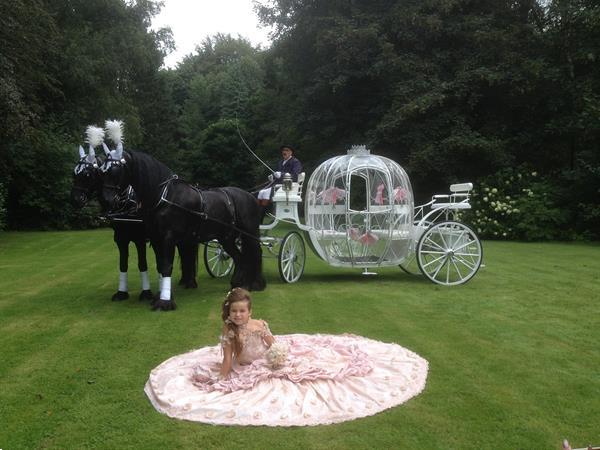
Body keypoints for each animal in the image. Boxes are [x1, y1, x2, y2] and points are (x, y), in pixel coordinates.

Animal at [70, 146, 197, 300]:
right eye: (74, 173)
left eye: (87, 175)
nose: (75, 199)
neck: (127, 202)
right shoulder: (120, 239)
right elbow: (123, 264)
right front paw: (121, 292)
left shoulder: (139, 239)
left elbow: (142, 264)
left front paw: (146, 293)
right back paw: (183, 280)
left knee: (188, 252)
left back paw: (190, 282)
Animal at [100, 148, 264, 310]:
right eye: (102, 171)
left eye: (116, 170)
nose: (107, 201)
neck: (165, 197)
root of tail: (250, 196)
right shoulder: (155, 238)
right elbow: (160, 266)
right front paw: (159, 296)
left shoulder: (168, 238)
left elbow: (166, 266)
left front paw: (165, 302)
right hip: (226, 238)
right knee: (240, 257)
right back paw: (237, 287)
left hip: (249, 233)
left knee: (254, 253)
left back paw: (253, 284)